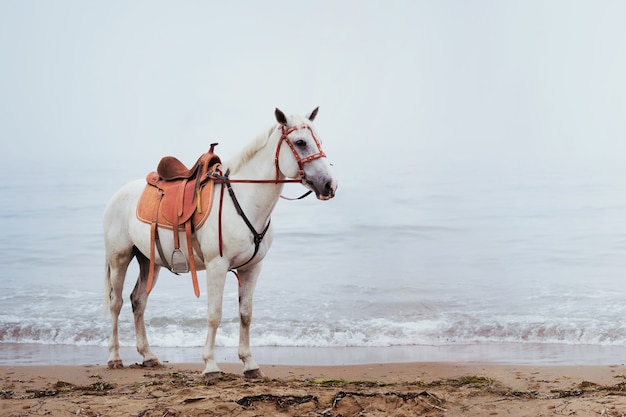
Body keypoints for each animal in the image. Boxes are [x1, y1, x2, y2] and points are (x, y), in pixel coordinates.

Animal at [102, 107, 336, 376]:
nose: (330, 184)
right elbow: (215, 314)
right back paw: (114, 357)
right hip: (119, 258)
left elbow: (246, 314)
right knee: (116, 303)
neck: (244, 200)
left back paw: (148, 355)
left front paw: (249, 364)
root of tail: (117, 195)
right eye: (300, 142)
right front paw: (211, 365)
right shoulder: (217, 266)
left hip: (149, 261)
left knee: (138, 301)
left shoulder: (252, 268)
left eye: (319, 141)